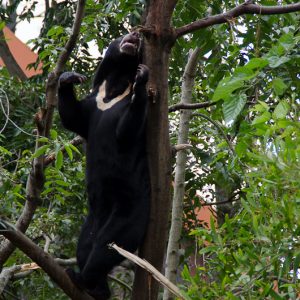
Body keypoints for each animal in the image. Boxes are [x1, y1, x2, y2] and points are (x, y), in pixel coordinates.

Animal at [57, 31, 150, 300]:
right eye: (126, 33)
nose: (136, 33)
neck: (114, 87)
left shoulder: (125, 111)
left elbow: (126, 131)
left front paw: (142, 79)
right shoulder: (93, 104)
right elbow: (73, 118)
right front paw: (69, 77)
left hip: (131, 210)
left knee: (108, 245)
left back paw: (84, 279)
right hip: (92, 217)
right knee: (84, 245)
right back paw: (94, 286)